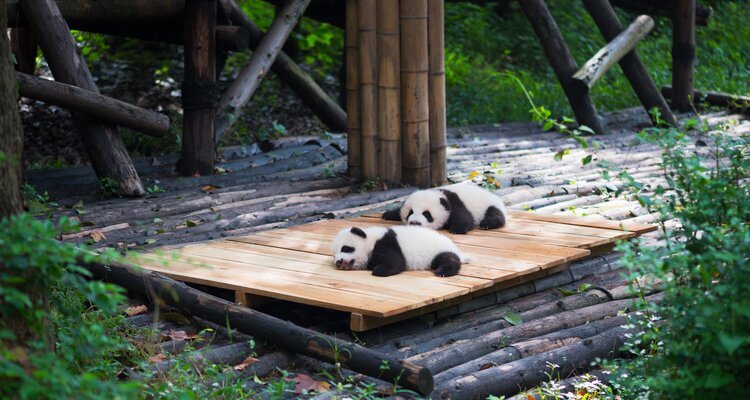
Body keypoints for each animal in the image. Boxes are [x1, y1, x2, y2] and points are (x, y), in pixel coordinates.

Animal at [331, 226, 466, 277]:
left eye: (345, 248)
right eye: (334, 255)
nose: (339, 262)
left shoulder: (387, 243)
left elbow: (395, 262)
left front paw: (379, 270)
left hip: (438, 249)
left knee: (448, 259)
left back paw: (442, 271)